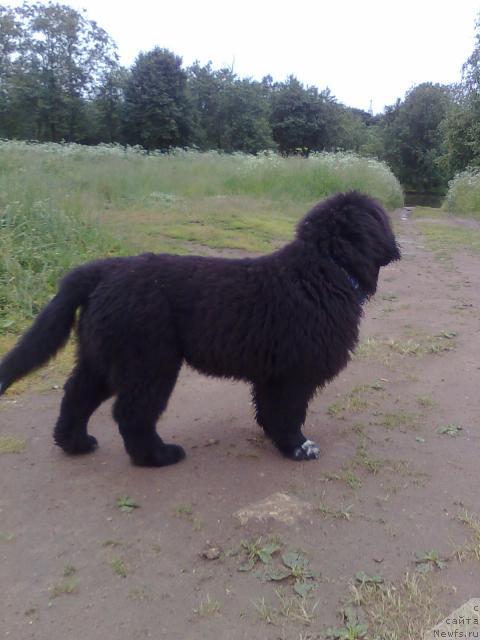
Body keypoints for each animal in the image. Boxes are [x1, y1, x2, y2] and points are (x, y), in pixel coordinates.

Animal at [0, 192, 400, 468]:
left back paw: (76, 443)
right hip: (149, 363)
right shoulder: (293, 374)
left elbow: (269, 411)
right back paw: (157, 456)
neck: (323, 270)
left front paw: (276, 439)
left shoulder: (272, 375)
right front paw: (298, 448)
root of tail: (102, 270)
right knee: (131, 413)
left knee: (76, 396)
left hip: (102, 357)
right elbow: (289, 414)